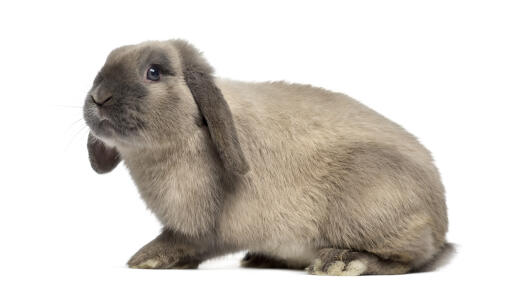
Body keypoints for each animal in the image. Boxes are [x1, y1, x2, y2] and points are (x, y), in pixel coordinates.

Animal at [82, 39, 450, 276]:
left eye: (154, 72)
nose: (99, 97)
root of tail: (440, 220)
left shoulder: (203, 225)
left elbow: (187, 241)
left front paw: (148, 258)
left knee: (412, 259)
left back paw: (341, 262)